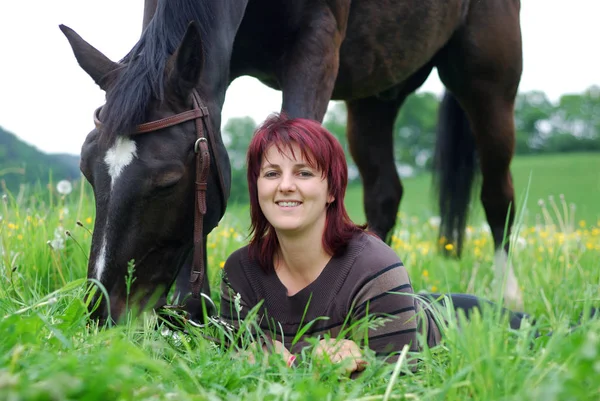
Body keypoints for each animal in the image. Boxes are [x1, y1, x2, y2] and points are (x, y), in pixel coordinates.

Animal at [59, 0, 520, 322]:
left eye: (168, 181)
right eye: (87, 170)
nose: (102, 310)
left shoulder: (317, 43)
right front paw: (194, 311)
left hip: (487, 79)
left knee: (498, 195)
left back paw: (508, 294)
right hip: (374, 96)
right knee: (384, 195)